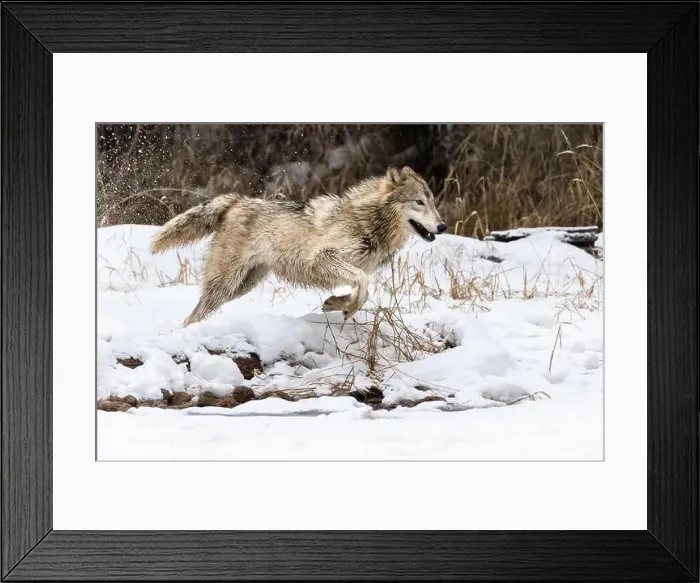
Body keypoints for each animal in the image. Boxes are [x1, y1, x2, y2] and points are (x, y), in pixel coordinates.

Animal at [150, 166, 447, 326]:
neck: (368, 221)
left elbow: (363, 288)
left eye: (432, 202)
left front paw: (336, 303)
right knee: (194, 314)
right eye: (419, 202)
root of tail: (236, 200)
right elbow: (362, 283)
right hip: (224, 284)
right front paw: (348, 307)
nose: (443, 227)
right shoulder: (322, 258)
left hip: (241, 287)